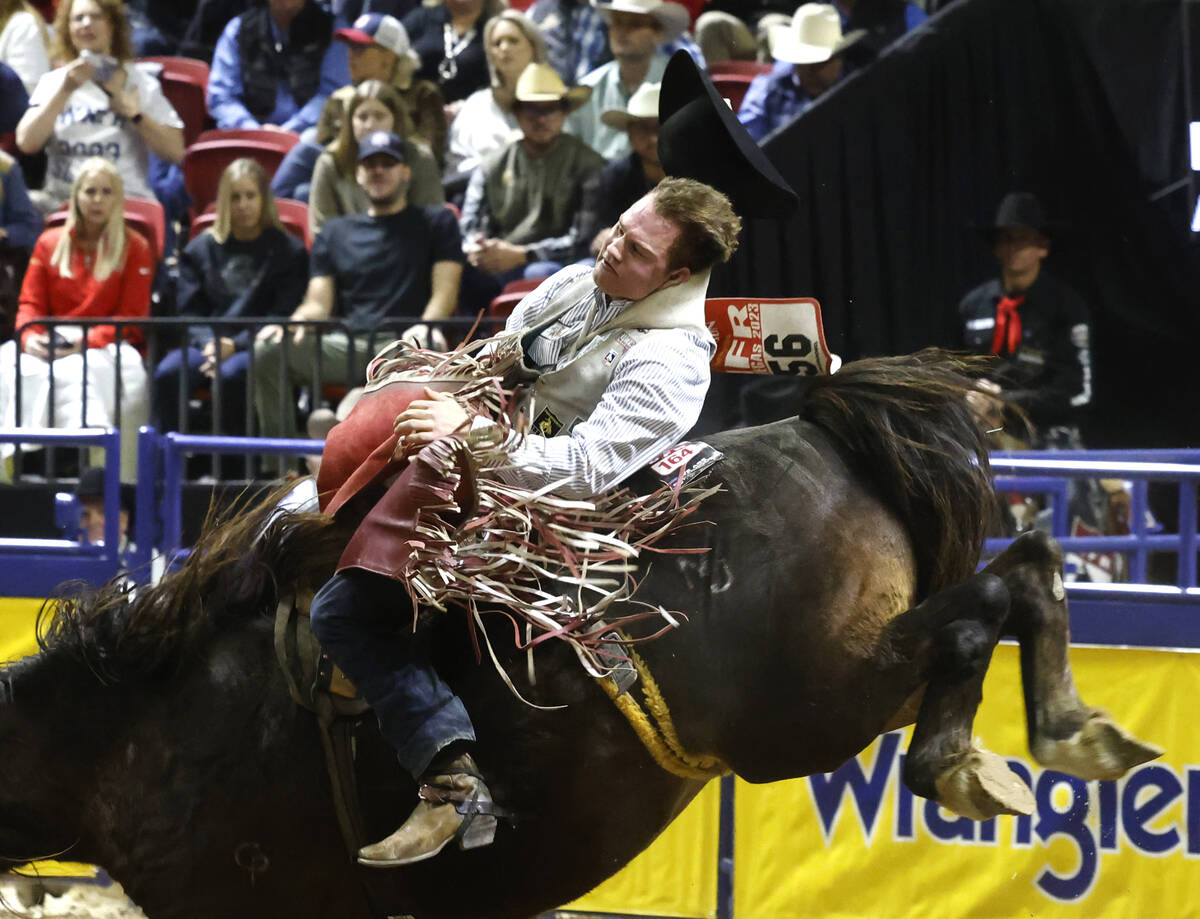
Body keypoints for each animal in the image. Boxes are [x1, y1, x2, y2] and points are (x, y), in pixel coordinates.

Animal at [0, 350, 1160, 919]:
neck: (128, 726)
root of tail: (818, 424)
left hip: (811, 708)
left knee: (976, 618)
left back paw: (974, 758)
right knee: (1021, 572)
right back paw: (1065, 731)